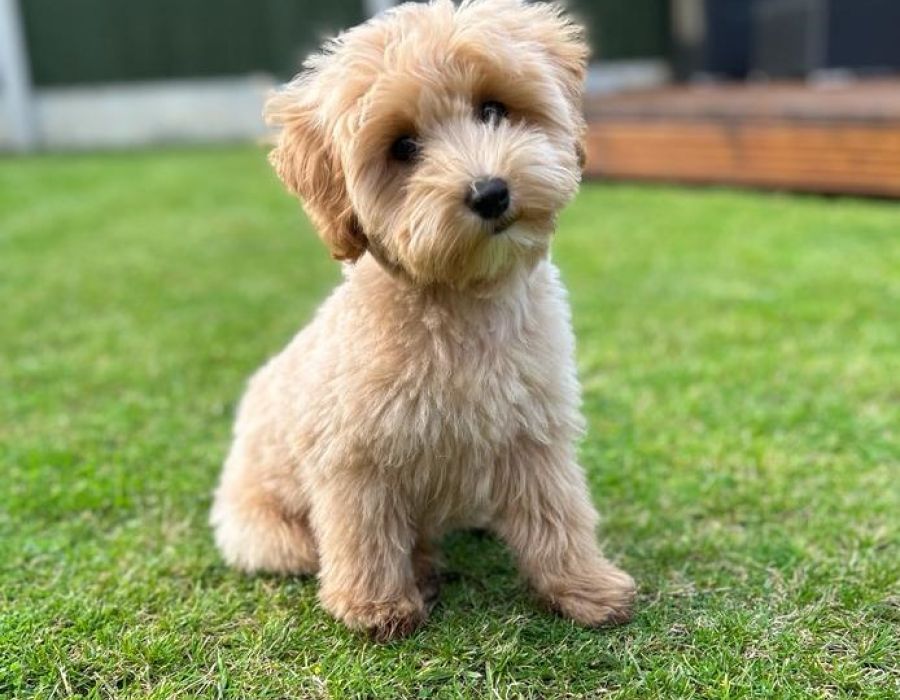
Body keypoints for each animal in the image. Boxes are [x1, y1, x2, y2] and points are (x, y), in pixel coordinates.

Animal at [211, 0, 635, 641]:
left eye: (492, 109)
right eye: (403, 147)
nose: (490, 192)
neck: (460, 301)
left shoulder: (534, 430)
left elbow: (557, 512)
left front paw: (586, 587)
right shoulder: (354, 455)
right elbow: (364, 531)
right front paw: (376, 607)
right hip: (266, 532)